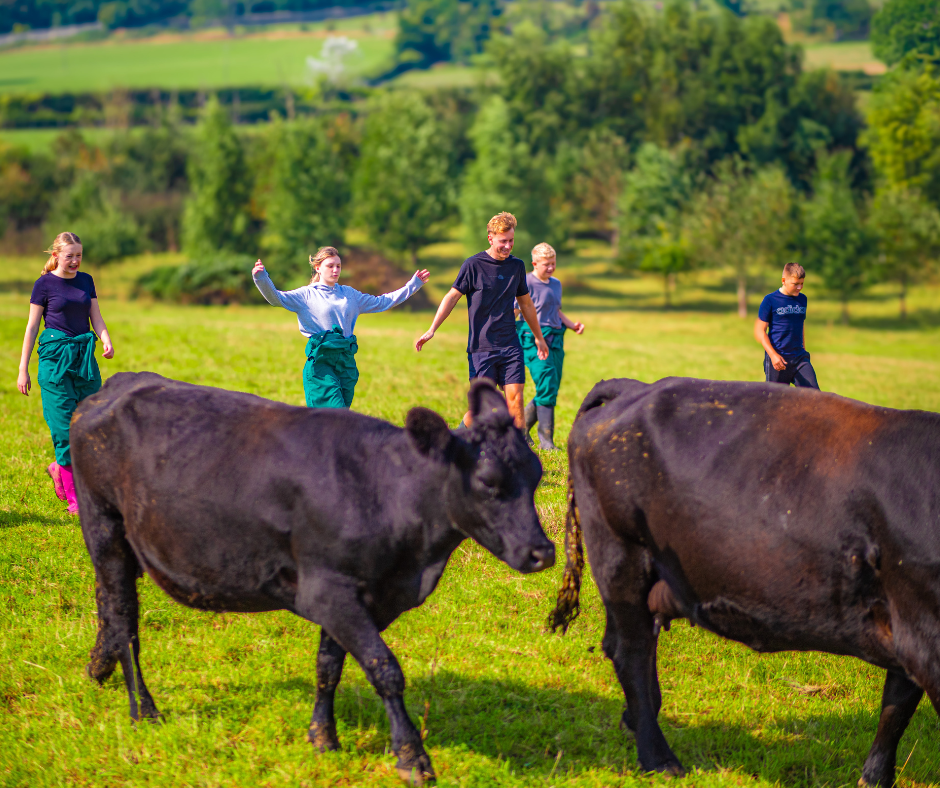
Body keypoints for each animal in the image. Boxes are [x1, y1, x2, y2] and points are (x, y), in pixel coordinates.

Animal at [75, 374, 560, 780]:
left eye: (536, 475)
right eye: (488, 482)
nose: (542, 552)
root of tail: (116, 386)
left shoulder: (357, 595)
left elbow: (330, 665)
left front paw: (323, 737)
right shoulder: (329, 590)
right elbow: (385, 669)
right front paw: (412, 757)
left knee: (108, 606)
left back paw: (99, 666)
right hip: (104, 524)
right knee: (123, 617)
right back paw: (143, 709)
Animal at [552, 378, 940, 784]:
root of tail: (635, 388)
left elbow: (896, 707)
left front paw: (875, 777)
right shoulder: (925, 632)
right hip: (620, 556)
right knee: (631, 651)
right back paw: (659, 758)